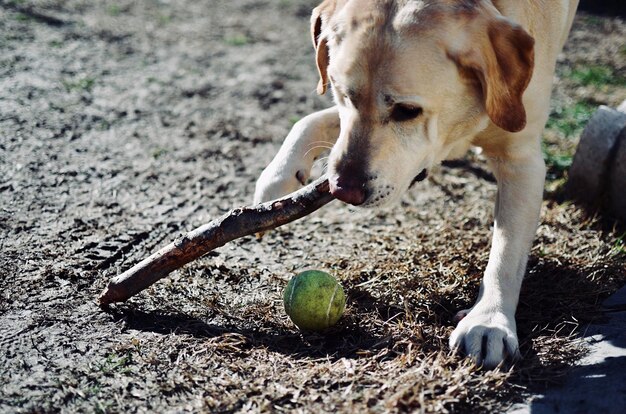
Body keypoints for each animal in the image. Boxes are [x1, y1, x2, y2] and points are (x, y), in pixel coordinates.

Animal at [252, 0, 576, 368]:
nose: (343, 191)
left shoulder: (522, 160)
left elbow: (506, 255)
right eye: (340, 92)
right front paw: (276, 180)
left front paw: (489, 322)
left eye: (407, 111)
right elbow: (311, 120)